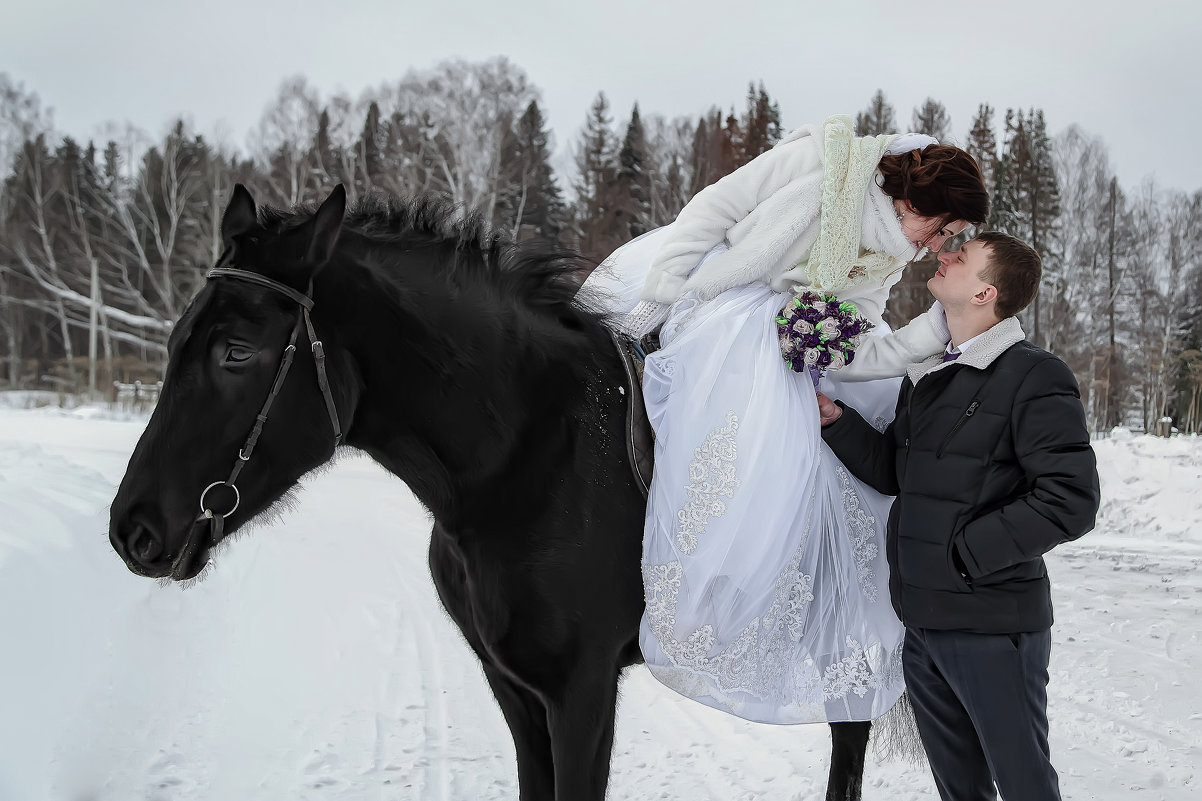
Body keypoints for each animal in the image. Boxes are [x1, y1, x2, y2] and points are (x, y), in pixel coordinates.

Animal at [108, 184, 875, 793]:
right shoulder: (514, 686)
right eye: (174, 340)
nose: (133, 529)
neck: (531, 463)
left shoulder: (582, 690)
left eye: (237, 351)